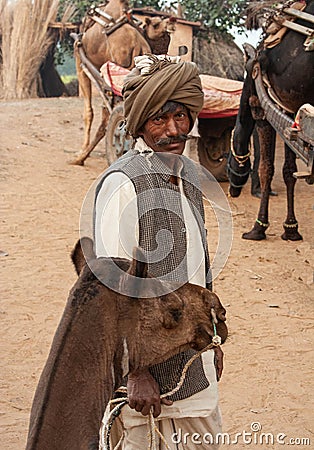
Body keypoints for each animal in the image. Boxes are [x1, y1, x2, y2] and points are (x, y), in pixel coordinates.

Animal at [71, 0, 174, 165]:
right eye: (156, 23)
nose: (170, 23)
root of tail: (138, 46)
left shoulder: (81, 64)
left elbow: (89, 113)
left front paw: (80, 154)